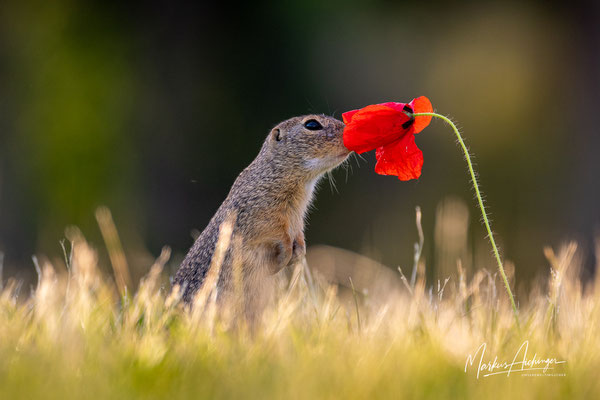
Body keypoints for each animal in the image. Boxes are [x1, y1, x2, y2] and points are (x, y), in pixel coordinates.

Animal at [173, 113, 350, 316]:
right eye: (312, 125)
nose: (346, 130)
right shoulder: (262, 215)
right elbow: (277, 234)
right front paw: (285, 257)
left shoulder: (297, 218)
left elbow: (298, 235)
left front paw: (299, 253)